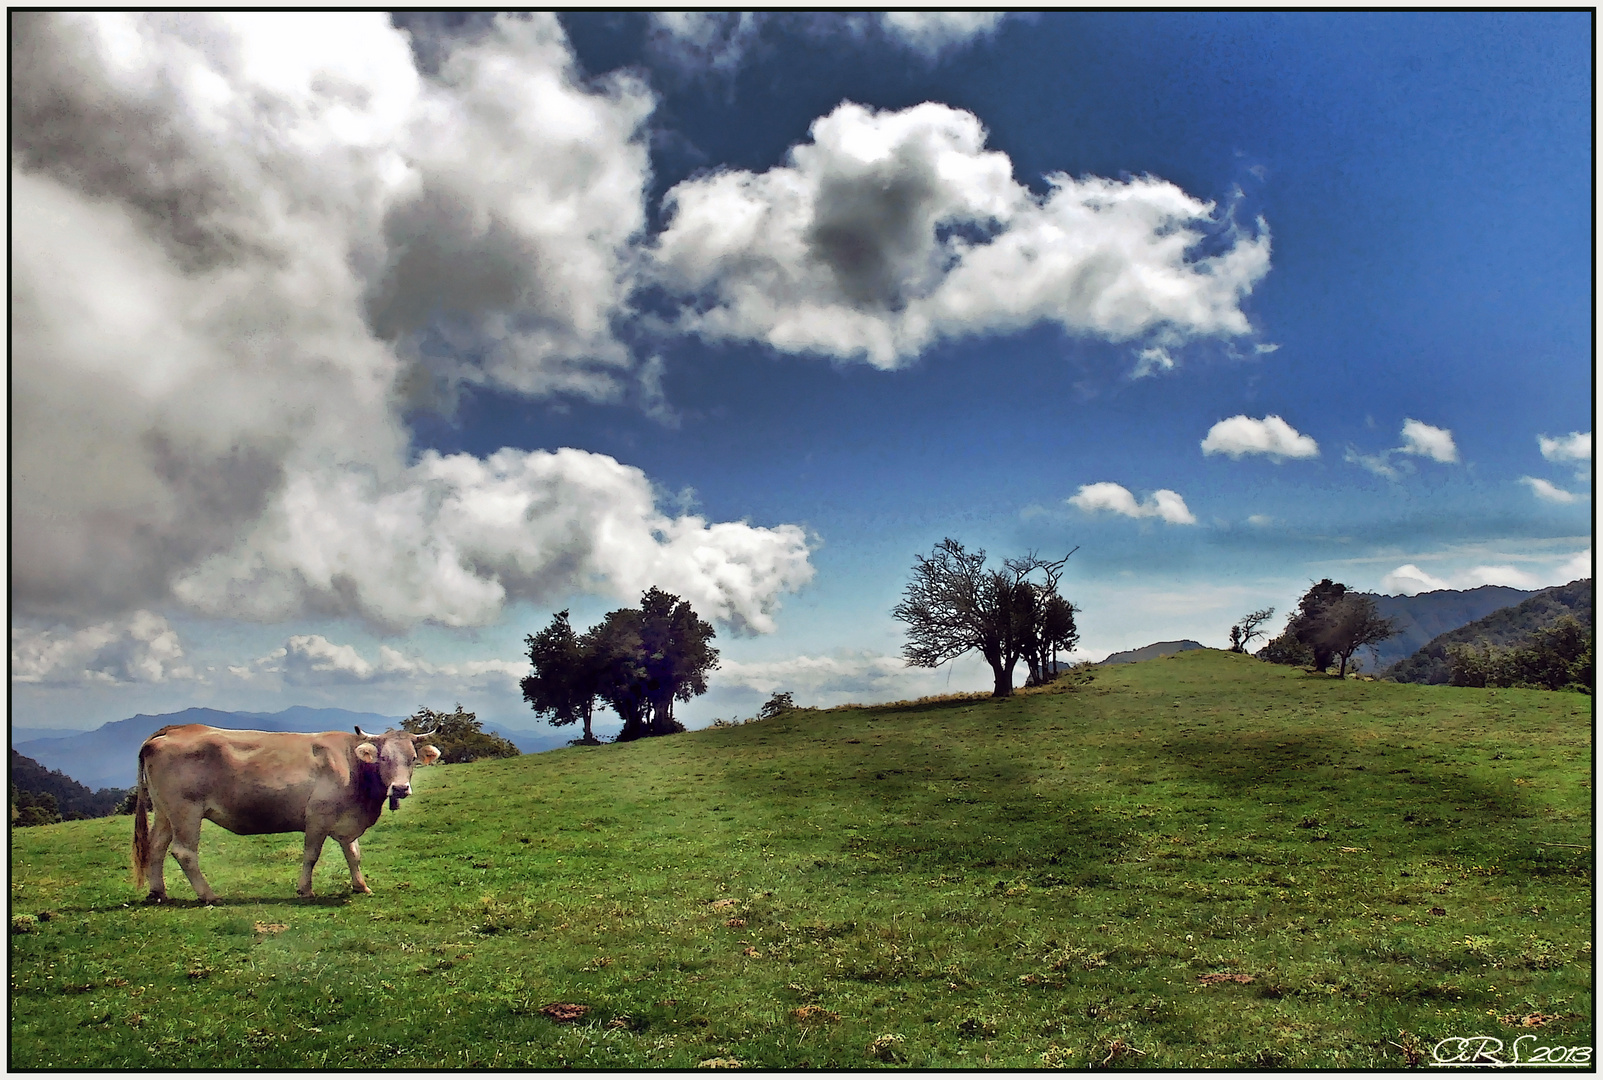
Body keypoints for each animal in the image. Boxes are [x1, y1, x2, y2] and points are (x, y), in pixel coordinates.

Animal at [132, 724, 442, 897]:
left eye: (412, 758)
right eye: (383, 758)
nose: (400, 789)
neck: (353, 767)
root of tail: (176, 728)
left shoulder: (346, 822)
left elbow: (353, 855)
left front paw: (361, 886)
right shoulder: (317, 817)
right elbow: (311, 855)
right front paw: (305, 889)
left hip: (165, 812)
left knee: (156, 847)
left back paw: (158, 893)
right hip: (186, 810)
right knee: (184, 852)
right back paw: (209, 895)